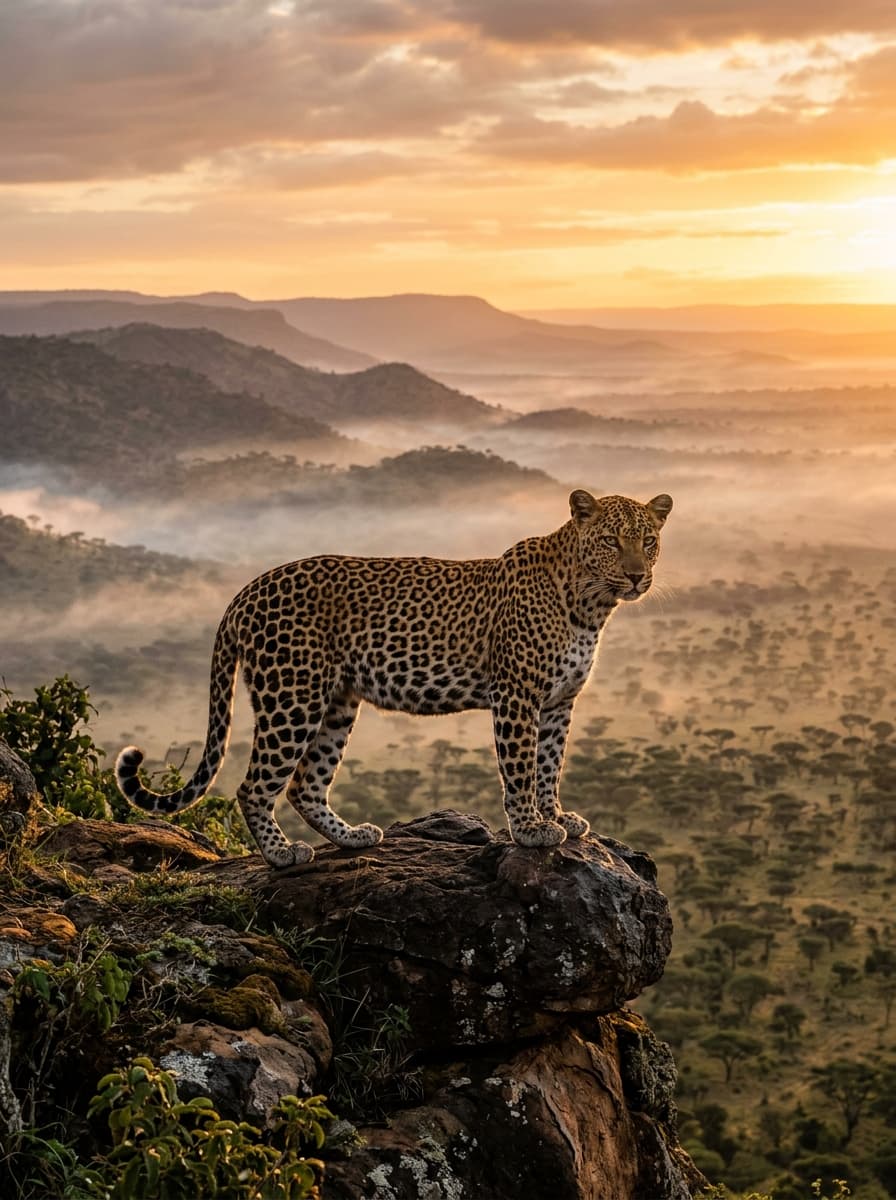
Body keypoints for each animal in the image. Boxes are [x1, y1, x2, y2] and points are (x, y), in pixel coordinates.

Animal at [116, 489, 672, 867]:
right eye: (610, 541)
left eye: (648, 541)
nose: (637, 576)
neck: (590, 606)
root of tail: (246, 591)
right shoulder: (517, 696)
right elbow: (520, 769)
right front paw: (531, 829)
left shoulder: (558, 702)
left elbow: (550, 765)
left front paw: (557, 818)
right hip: (292, 697)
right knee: (254, 786)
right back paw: (282, 854)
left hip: (337, 703)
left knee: (304, 784)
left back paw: (352, 837)